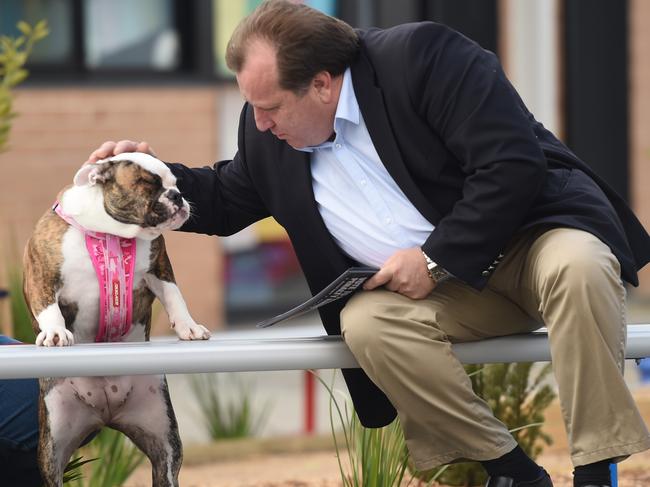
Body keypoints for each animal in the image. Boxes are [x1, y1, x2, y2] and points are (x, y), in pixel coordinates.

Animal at [22, 153, 210, 487]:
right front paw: (56, 332)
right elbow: (48, 307)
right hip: (53, 447)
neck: (111, 235)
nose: (177, 196)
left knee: (166, 465)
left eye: (176, 183)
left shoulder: (159, 269)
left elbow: (175, 297)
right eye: (147, 184)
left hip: (164, 441)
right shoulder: (40, 275)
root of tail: (105, 413)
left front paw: (189, 326)